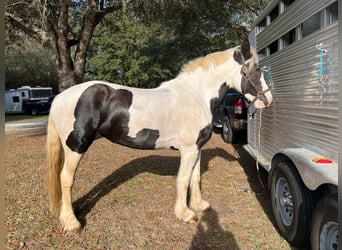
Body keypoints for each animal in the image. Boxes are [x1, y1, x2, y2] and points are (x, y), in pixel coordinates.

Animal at [47, 40, 272, 231]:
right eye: (256, 69)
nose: (268, 99)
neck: (196, 96)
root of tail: (60, 97)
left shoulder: (197, 148)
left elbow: (195, 177)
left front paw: (199, 205)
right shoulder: (188, 150)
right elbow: (183, 179)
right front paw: (185, 214)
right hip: (76, 146)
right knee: (66, 178)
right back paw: (72, 222)